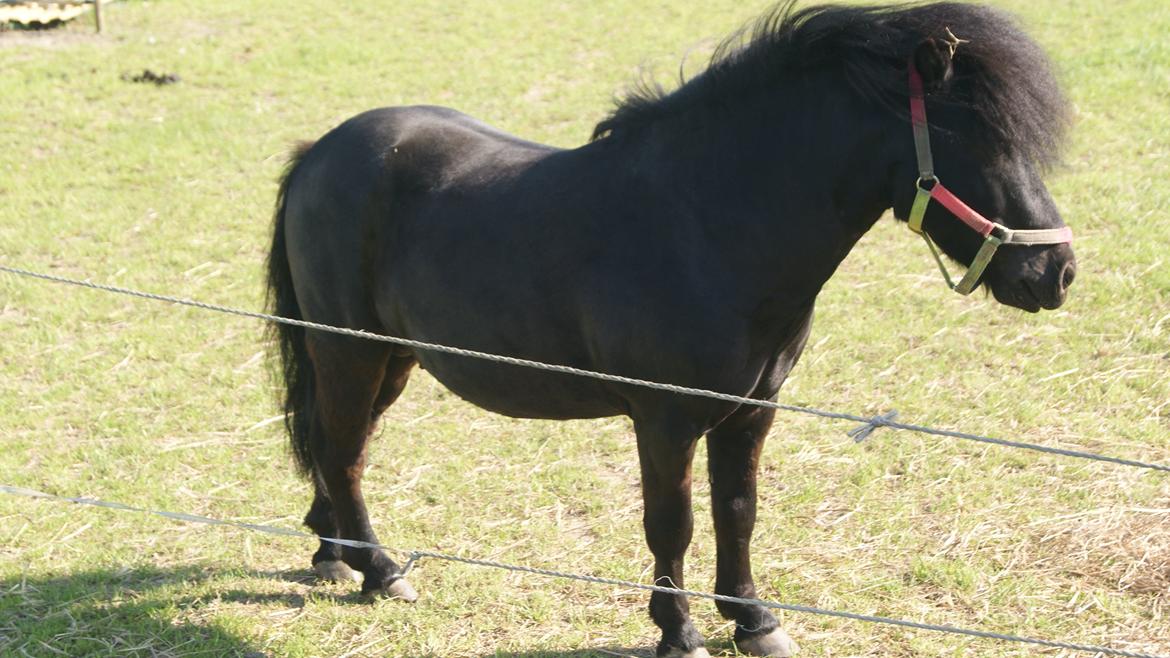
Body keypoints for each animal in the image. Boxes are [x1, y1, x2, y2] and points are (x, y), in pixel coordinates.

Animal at [269, 2, 1071, 650]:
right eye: (978, 139)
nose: (1055, 272)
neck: (707, 223)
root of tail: (320, 150)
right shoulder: (665, 420)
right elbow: (673, 524)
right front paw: (678, 632)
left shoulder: (751, 411)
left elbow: (738, 512)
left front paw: (754, 622)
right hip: (348, 351)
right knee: (344, 450)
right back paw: (379, 570)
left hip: (391, 358)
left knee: (339, 444)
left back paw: (335, 553)